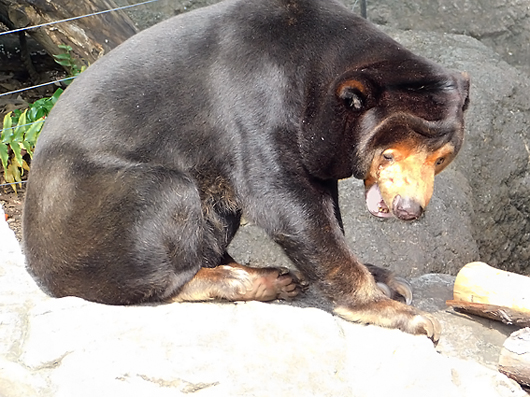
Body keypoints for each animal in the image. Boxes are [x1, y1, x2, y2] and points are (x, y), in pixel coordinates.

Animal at [21, 0, 466, 340]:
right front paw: (400, 310)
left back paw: (268, 275)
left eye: (441, 158)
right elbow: (284, 200)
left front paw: (387, 278)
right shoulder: (255, 99)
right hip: (89, 208)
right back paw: (237, 280)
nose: (409, 208)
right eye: (388, 154)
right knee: (164, 205)